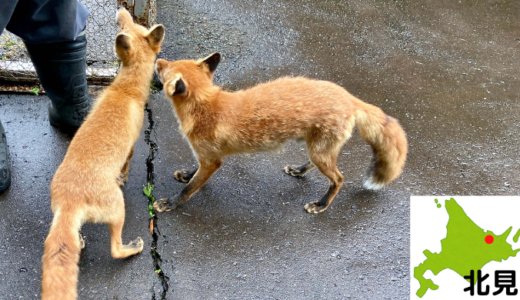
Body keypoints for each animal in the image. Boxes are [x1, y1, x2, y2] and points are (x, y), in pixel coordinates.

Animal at [41, 7, 165, 300]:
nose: (121, 13)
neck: (125, 89)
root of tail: (70, 200)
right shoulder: (132, 147)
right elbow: (127, 166)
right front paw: (123, 177)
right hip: (118, 209)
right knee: (115, 250)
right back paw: (133, 248)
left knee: (74, 239)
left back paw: (81, 241)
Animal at [152, 52, 408, 214]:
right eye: (173, 62)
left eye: (165, 69)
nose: (158, 58)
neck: (206, 106)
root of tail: (348, 96)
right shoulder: (206, 156)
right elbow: (194, 171)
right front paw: (187, 174)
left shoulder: (212, 161)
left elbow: (188, 190)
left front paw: (171, 203)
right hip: (318, 150)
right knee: (317, 165)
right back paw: (299, 170)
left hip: (321, 153)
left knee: (339, 179)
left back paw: (321, 204)